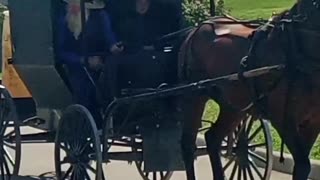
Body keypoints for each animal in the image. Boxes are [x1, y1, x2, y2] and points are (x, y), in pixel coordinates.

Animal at [179, 0, 320, 179]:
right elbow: (303, 165)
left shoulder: (313, 122)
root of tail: (197, 29)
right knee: (188, 144)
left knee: (213, 138)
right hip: (194, 96)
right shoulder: (283, 119)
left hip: (234, 106)